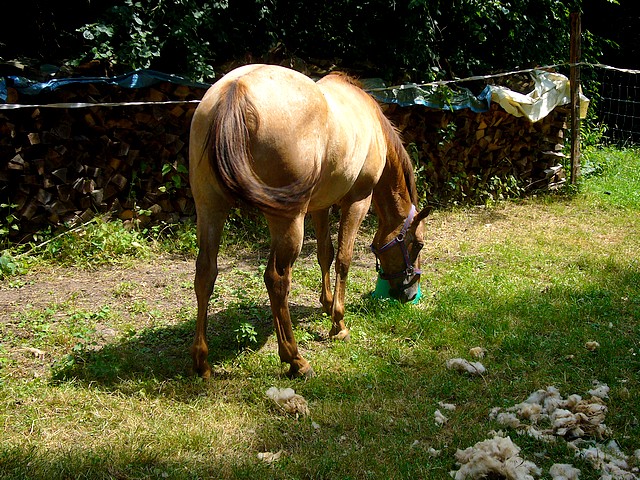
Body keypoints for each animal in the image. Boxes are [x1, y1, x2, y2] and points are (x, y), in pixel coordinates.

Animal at [189, 63, 430, 378]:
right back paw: (295, 360)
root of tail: (235, 89)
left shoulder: (320, 206)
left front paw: (327, 305)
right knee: (276, 279)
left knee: (205, 273)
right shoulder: (357, 201)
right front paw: (338, 324)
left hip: (210, 208)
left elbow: (325, 253)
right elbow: (343, 259)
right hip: (288, 221)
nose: (409, 293)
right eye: (418, 244)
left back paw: (202, 362)